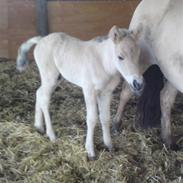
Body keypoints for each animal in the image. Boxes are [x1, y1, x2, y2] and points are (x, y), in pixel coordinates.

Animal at [16, 25, 143, 159]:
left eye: (139, 55)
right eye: (120, 57)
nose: (138, 83)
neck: (103, 64)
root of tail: (41, 40)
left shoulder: (106, 92)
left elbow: (105, 117)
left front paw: (109, 145)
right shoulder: (89, 90)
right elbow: (92, 119)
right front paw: (90, 151)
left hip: (55, 78)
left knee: (39, 93)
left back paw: (38, 126)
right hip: (49, 77)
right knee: (44, 98)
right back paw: (51, 135)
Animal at [113, 0, 182, 149]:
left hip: (172, 74)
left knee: (165, 99)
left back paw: (168, 140)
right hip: (140, 64)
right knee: (126, 92)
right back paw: (116, 123)